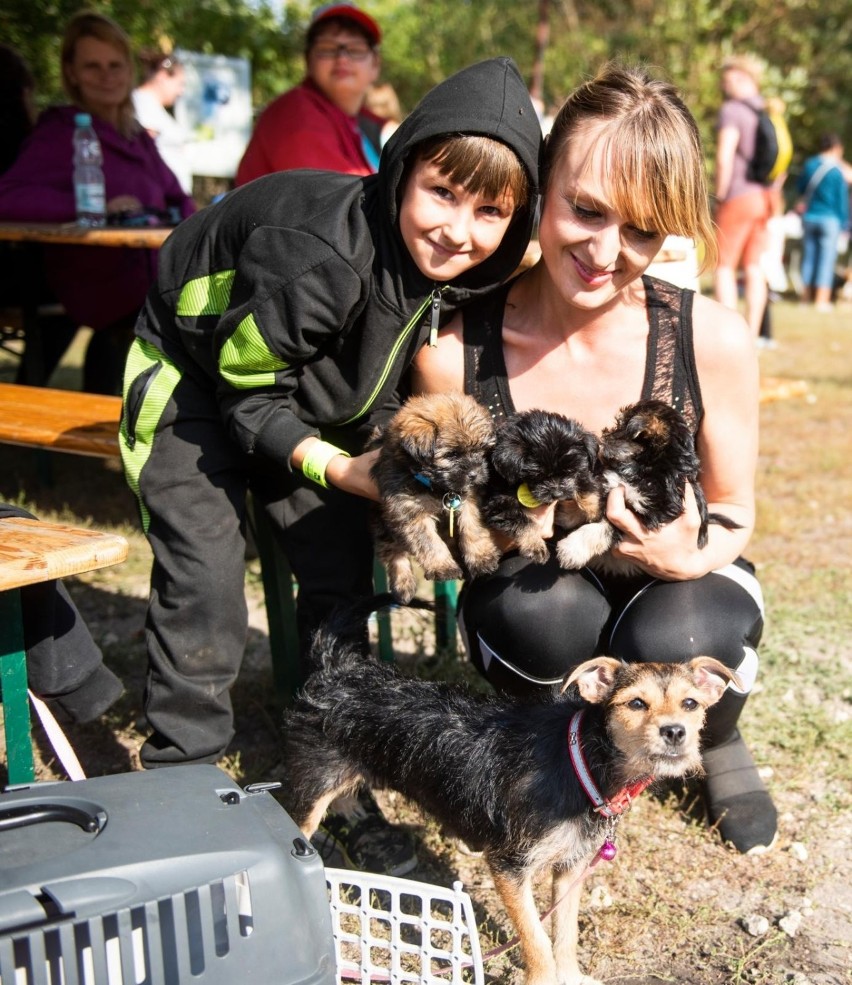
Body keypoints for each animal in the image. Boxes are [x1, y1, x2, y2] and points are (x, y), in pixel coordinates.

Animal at [282, 632, 736, 984]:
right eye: (637, 704)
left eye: (691, 704)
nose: (674, 732)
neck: (584, 761)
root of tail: (335, 669)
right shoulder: (509, 866)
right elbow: (536, 939)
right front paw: (544, 977)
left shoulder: (570, 866)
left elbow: (565, 933)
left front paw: (570, 975)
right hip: (309, 793)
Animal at [368, 392, 500, 600]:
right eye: (451, 455)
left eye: (481, 450)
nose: (475, 474)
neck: (436, 486)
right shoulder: (409, 511)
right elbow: (428, 542)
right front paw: (443, 567)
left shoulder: (470, 499)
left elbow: (473, 527)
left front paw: (482, 558)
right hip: (381, 521)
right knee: (393, 551)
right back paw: (404, 583)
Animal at [482, 408, 604, 560]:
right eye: (538, 476)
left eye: (570, 471)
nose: (557, 493)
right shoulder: (499, 504)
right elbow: (523, 522)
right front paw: (535, 545)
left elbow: (584, 480)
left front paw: (594, 510)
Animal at [556, 396, 744, 572]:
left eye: (620, 427)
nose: (604, 435)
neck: (648, 467)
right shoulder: (612, 486)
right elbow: (595, 503)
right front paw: (567, 513)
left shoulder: (648, 513)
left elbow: (605, 527)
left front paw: (572, 549)